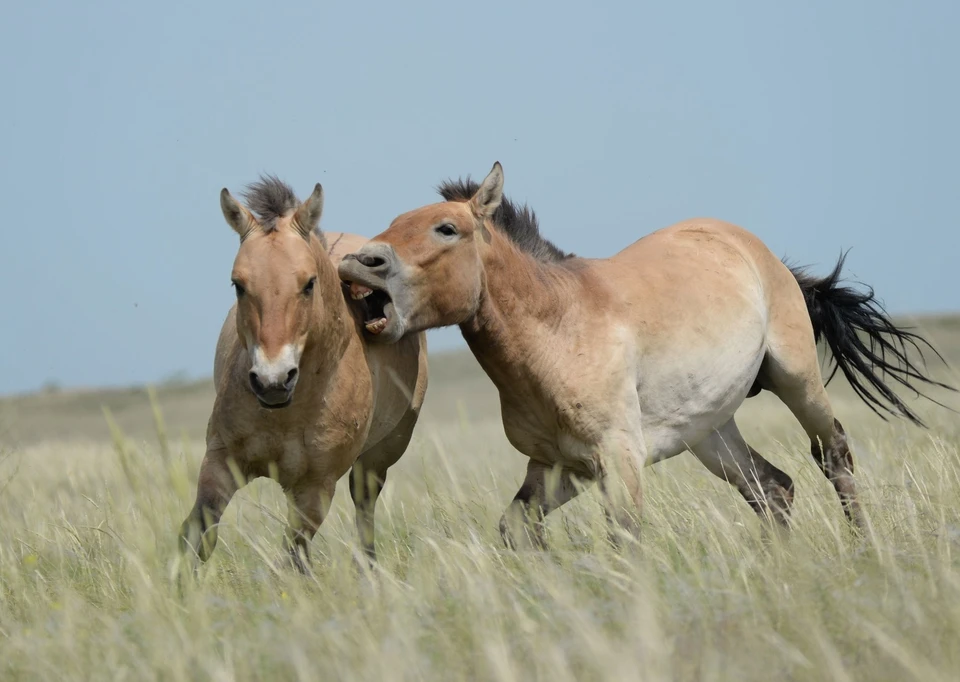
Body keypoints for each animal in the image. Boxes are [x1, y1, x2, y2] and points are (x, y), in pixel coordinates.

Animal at [180, 177, 428, 568]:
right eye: (238, 284)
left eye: (309, 283)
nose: (273, 381)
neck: (289, 413)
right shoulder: (221, 462)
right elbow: (198, 536)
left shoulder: (314, 489)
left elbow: (293, 559)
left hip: (375, 462)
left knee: (364, 516)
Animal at [338, 161, 952, 548]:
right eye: (394, 223)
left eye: (446, 228)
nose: (359, 263)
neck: (560, 329)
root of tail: (757, 251)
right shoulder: (558, 467)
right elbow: (517, 530)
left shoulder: (618, 459)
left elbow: (625, 540)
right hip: (711, 431)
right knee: (772, 489)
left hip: (796, 381)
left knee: (833, 456)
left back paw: (863, 552)